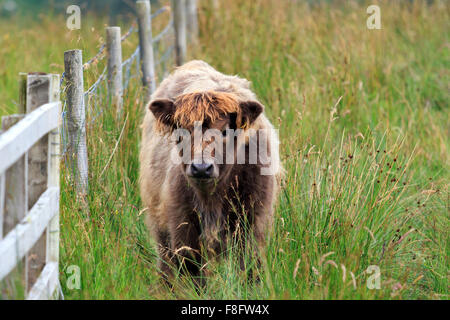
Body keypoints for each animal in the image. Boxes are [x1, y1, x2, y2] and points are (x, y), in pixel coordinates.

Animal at [139, 60, 284, 282]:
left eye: (225, 131)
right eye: (182, 130)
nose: (201, 167)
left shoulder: (252, 224)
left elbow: (249, 269)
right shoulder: (182, 228)